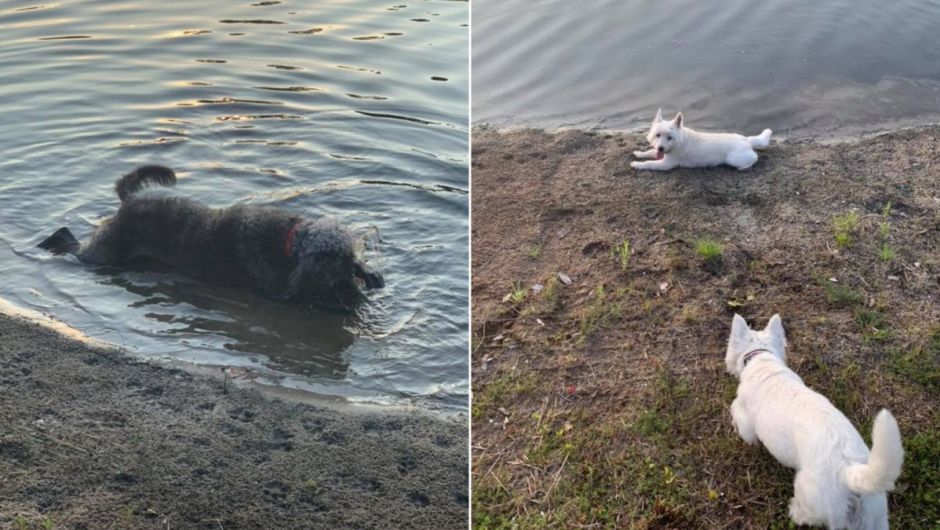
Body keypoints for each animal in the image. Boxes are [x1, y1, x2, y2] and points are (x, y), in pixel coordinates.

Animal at [36, 164, 382, 306]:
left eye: (352, 261)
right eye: (337, 265)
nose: (354, 287)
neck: (289, 241)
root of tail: (130, 201)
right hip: (104, 252)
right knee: (71, 242)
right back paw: (50, 242)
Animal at [632, 109, 772, 170]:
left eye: (669, 137)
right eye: (657, 135)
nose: (661, 148)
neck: (678, 143)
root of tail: (746, 140)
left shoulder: (666, 164)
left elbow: (649, 163)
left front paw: (637, 164)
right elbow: (650, 152)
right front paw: (639, 153)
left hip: (733, 159)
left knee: (754, 158)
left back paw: (744, 167)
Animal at [728, 312, 904, 524]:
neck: (761, 359)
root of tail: (849, 472)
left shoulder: (745, 418)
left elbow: (738, 417)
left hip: (810, 494)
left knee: (807, 514)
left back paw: (795, 511)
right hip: (874, 516)